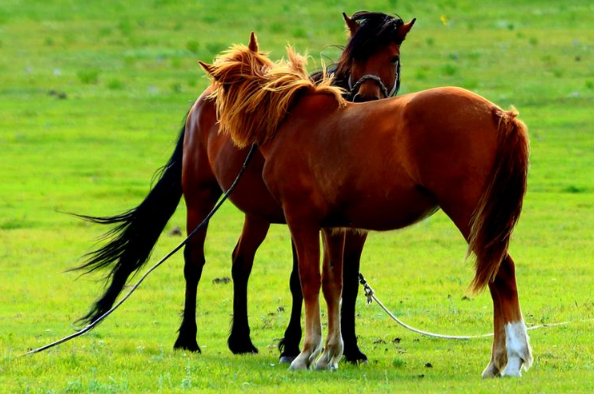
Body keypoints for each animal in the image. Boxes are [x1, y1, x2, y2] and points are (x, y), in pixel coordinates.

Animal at [71, 11, 414, 364]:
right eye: (353, 57)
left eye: (393, 58)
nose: (368, 98)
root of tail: (206, 96)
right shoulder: (301, 216)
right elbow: (299, 278)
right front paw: (292, 345)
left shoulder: (352, 226)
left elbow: (347, 279)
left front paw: (352, 349)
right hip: (201, 196)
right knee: (194, 261)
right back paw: (188, 338)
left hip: (257, 213)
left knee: (241, 262)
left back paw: (240, 340)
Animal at [200, 33, 532, 376]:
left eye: (220, 89)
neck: (292, 121)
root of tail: (497, 115)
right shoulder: (333, 227)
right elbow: (333, 283)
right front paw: (330, 355)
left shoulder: (301, 221)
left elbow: (309, 280)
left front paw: (306, 353)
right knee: (495, 276)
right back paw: (496, 362)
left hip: (470, 215)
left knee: (502, 273)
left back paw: (513, 360)